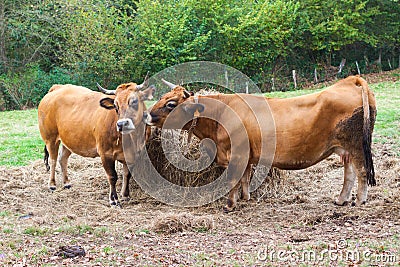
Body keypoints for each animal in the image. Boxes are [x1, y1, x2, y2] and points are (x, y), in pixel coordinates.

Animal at [38, 77, 155, 207]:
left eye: (134, 101)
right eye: (115, 106)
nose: (122, 124)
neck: (132, 139)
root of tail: (58, 87)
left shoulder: (133, 154)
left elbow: (127, 174)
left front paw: (125, 195)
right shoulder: (105, 154)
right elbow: (112, 176)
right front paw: (114, 199)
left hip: (68, 140)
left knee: (62, 158)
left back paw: (66, 183)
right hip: (50, 138)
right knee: (53, 160)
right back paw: (52, 184)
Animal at [148, 76, 376, 213]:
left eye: (170, 104)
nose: (148, 115)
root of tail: (351, 80)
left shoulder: (236, 155)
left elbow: (233, 179)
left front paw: (230, 205)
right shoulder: (247, 157)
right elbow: (245, 178)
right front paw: (246, 198)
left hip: (356, 145)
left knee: (362, 171)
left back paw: (359, 201)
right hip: (345, 149)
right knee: (349, 173)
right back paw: (341, 199)